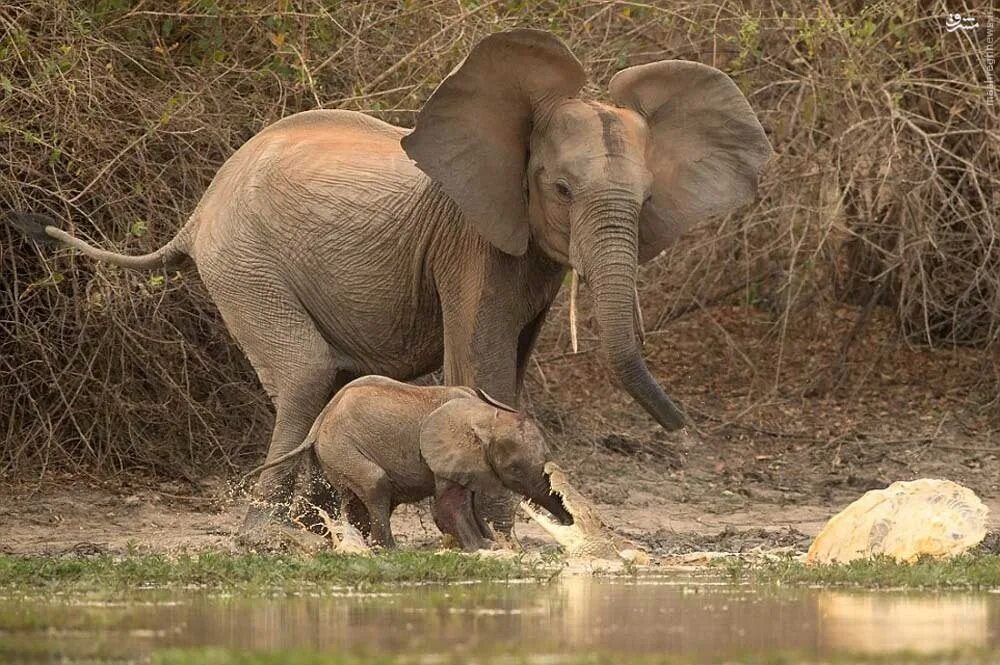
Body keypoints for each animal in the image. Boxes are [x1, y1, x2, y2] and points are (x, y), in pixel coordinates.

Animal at [248, 376, 572, 548]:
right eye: (514, 469)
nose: (569, 522)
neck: (485, 414)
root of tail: (319, 421)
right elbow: (448, 505)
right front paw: (481, 548)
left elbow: (467, 502)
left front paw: (489, 544)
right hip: (341, 446)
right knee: (375, 484)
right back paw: (388, 550)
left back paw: (361, 544)